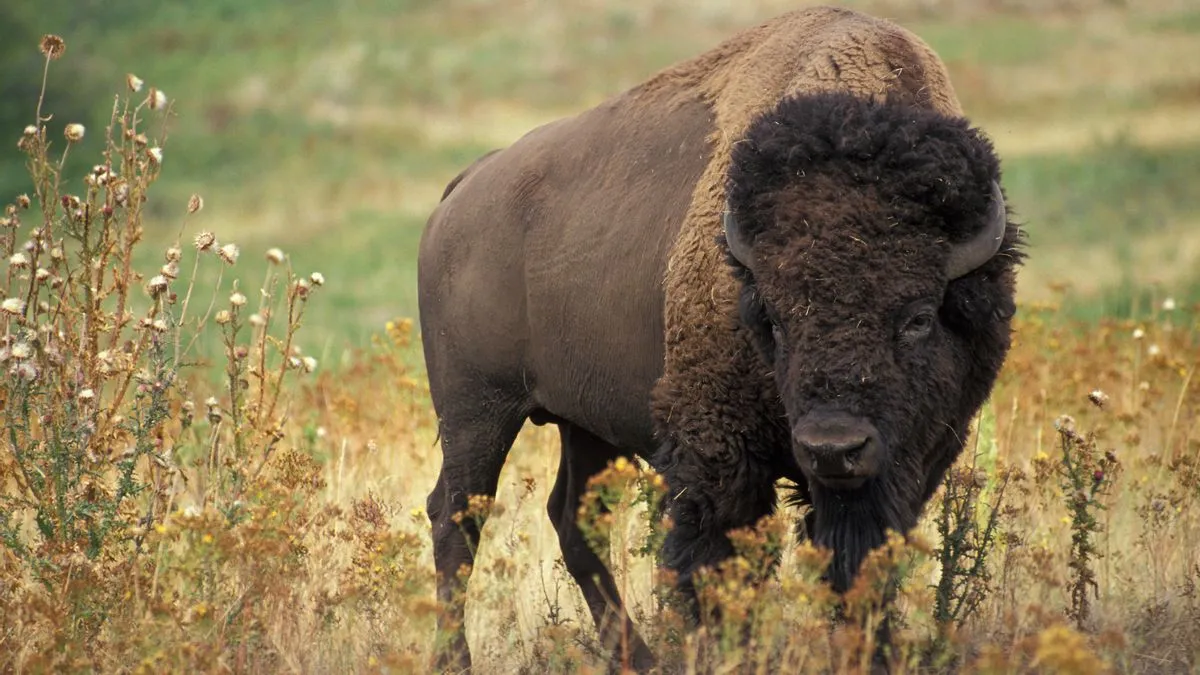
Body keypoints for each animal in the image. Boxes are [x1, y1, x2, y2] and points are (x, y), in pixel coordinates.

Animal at [417, 5, 1023, 671]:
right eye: (775, 319)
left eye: (918, 317)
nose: (832, 447)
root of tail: (465, 188)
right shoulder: (718, 453)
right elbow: (716, 564)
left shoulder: (909, 461)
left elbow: (860, 565)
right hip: (477, 411)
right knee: (456, 517)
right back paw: (457, 658)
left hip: (583, 422)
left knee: (572, 517)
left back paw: (638, 657)